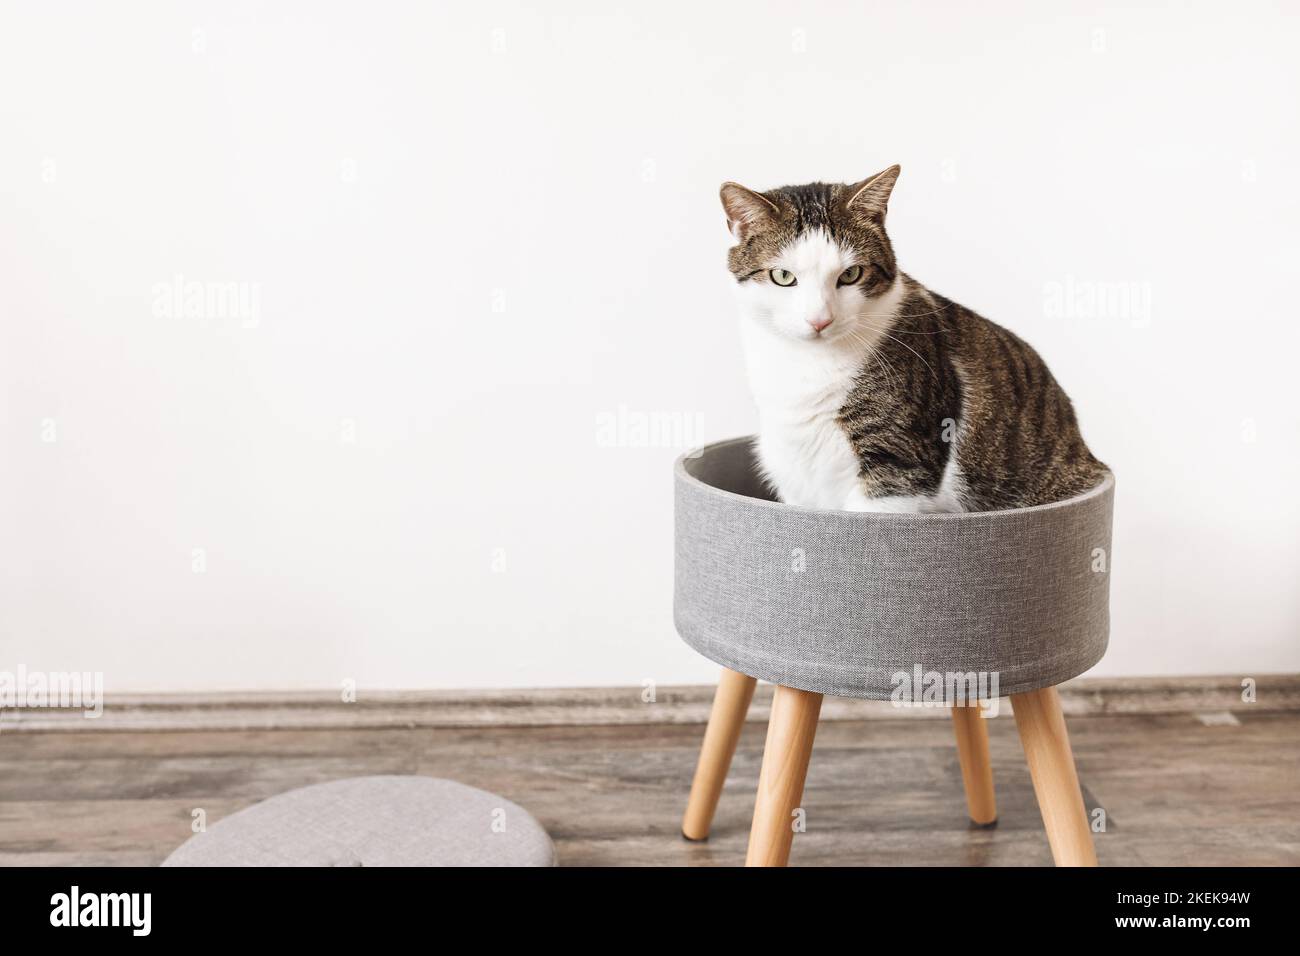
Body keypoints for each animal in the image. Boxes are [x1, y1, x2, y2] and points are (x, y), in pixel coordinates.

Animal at [722, 167, 1107, 512]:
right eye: (783, 276)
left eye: (851, 274)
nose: (820, 319)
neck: (808, 362)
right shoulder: (796, 476)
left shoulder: (900, 464)